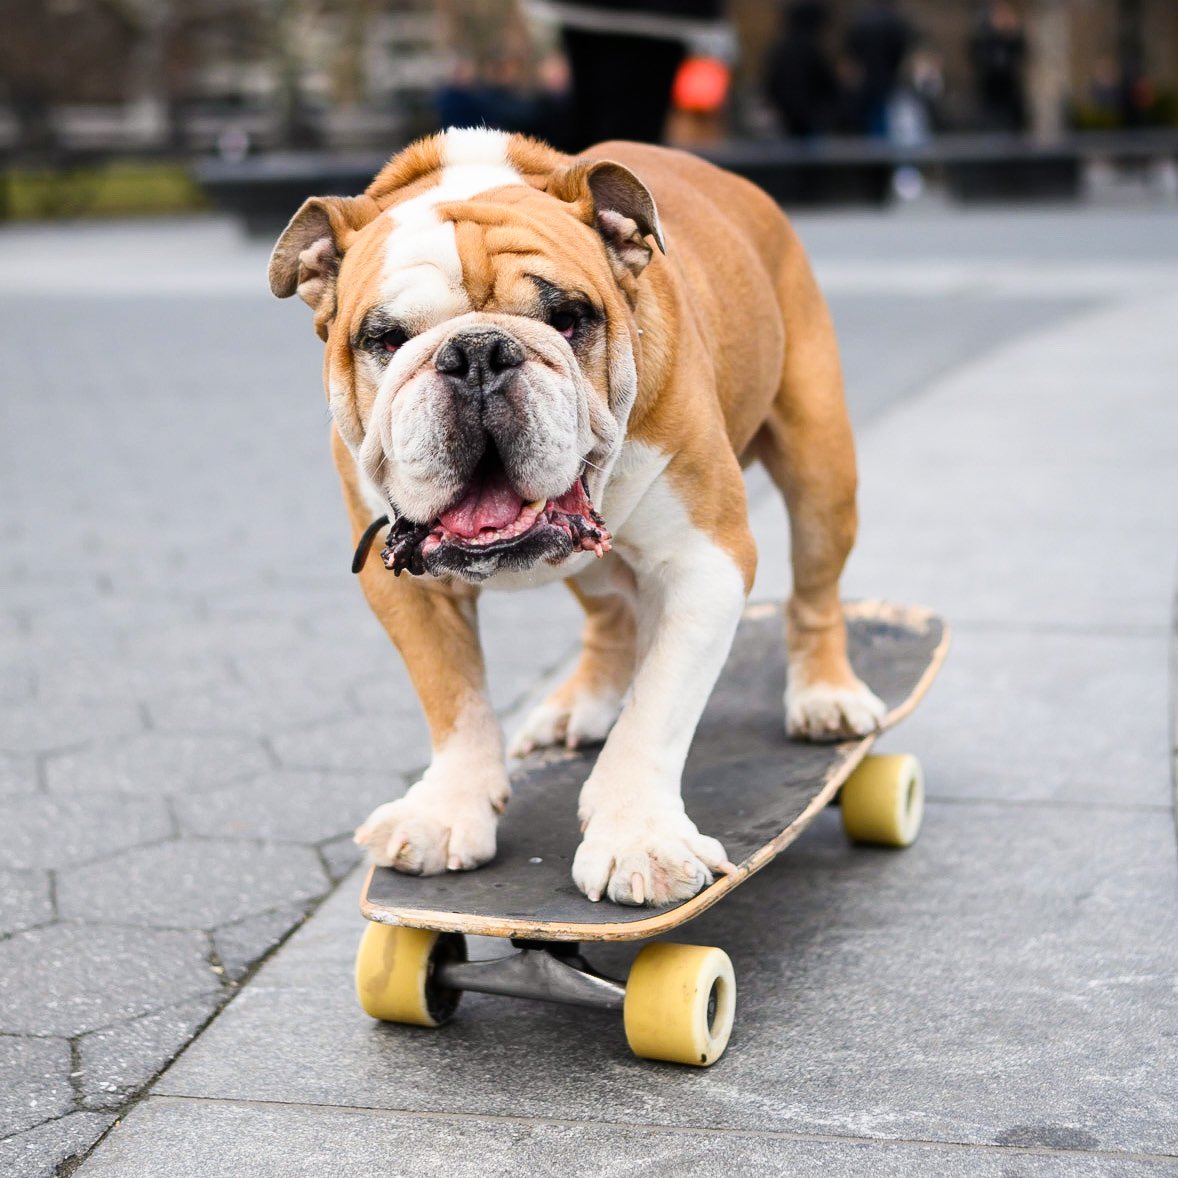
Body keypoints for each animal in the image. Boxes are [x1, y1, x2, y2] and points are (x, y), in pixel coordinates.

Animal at [269, 124, 885, 904]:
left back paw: (826, 697)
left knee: (815, 591)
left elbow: (656, 710)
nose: (476, 353)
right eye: (387, 339)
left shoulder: (702, 563)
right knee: (609, 616)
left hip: (819, 464)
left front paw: (638, 838)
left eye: (566, 320)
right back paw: (579, 705)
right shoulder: (405, 585)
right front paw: (447, 811)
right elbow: (453, 699)